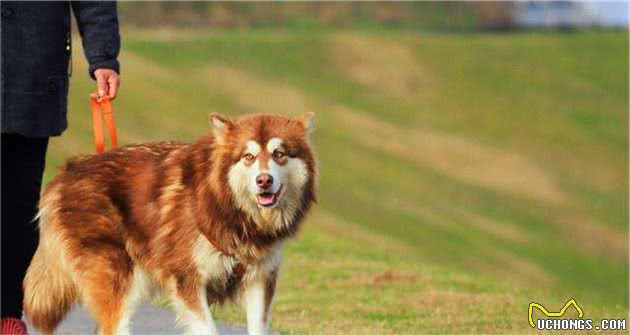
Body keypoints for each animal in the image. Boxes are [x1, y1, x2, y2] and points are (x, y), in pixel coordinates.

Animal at [23, 113, 316, 335]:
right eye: (248, 157)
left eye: (279, 154)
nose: (264, 180)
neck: (231, 210)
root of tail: (65, 173)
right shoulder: (188, 280)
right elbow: (208, 328)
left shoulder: (259, 279)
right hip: (116, 276)